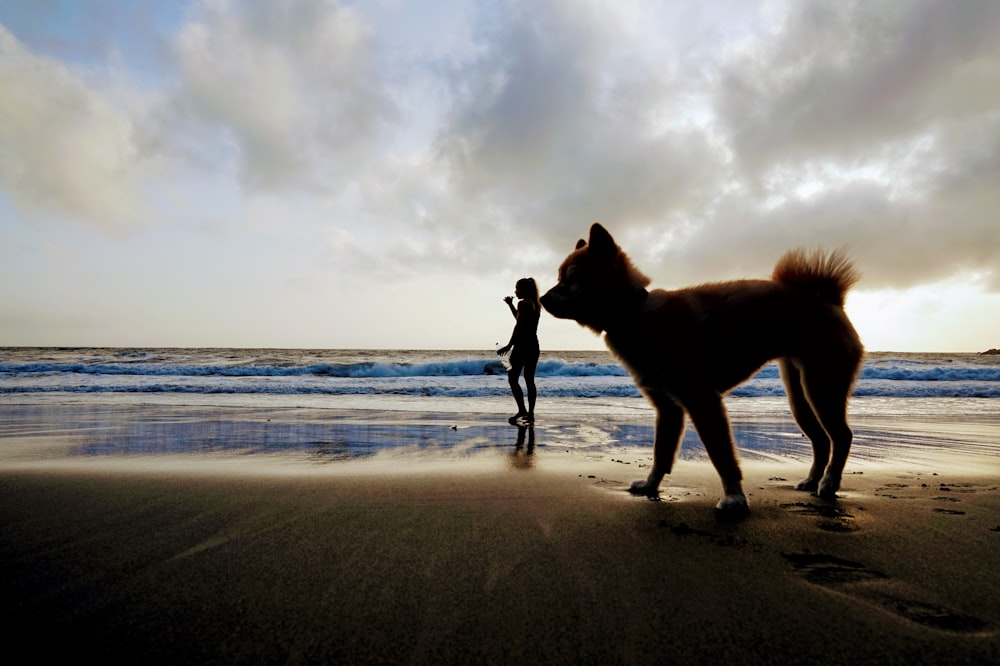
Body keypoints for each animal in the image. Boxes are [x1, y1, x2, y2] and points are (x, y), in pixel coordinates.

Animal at [544, 223, 864, 512]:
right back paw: (811, 481)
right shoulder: (668, 409)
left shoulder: (703, 401)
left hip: (821, 388)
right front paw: (650, 486)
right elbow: (661, 454)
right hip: (800, 396)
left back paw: (829, 484)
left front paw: (734, 497)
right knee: (822, 440)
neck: (633, 315)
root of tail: (830, 301)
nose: (542, 298)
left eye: (573, 277)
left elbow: (721, 455)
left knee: (842, 436)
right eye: (559, 277)